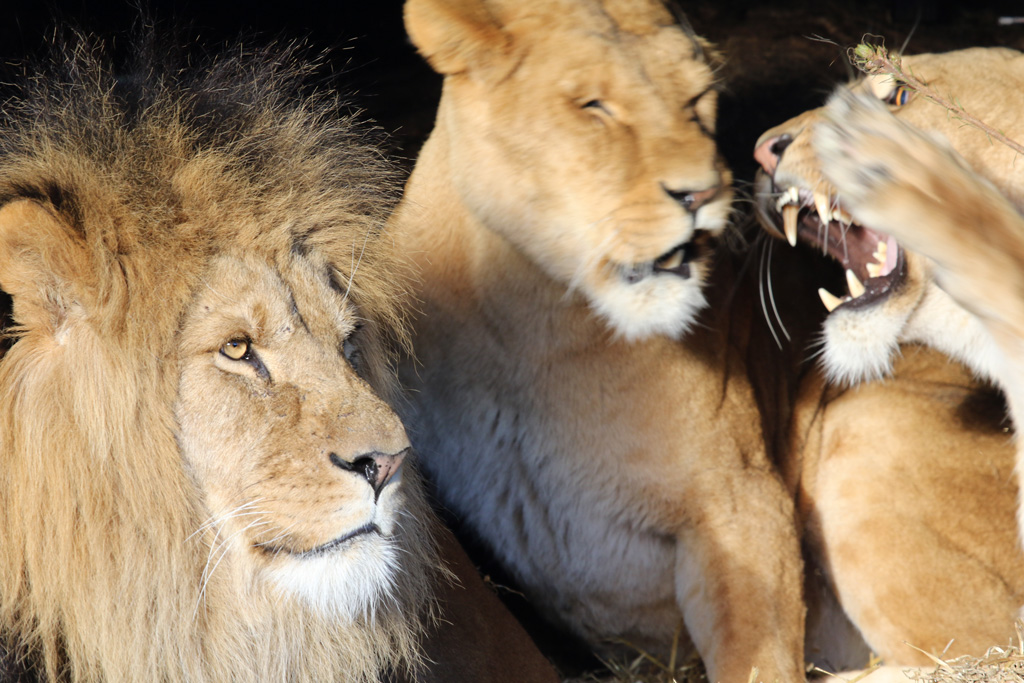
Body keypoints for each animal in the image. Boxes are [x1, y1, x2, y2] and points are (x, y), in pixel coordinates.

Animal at [389, 0, 807, 681]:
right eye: (593, 107)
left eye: (697, 98)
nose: (701, 193)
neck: (529, 329)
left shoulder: (741, 495)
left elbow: (760, 652)